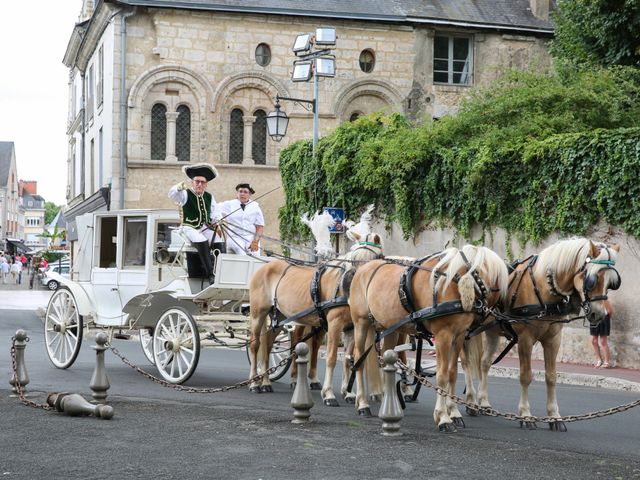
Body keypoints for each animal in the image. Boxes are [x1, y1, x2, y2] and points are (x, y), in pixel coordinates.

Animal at [248, 218, 382, 404]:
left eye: (373, 259)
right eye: (354, 259)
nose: (354, 285)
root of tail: (265, 266)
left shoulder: (351, 328)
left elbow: (348, 359)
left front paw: (348, 393)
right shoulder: (334, 325)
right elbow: (332, 357)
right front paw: (329, 394)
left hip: (279, 316)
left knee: (267, 344)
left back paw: (266, 382)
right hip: (258, 314)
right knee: (255, 345)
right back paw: (254, 383)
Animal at [348, 244, 508, 432]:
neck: (454, 281)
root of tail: (363, 268)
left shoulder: (459, 335)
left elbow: (452, 373)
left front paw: (454, 413)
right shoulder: (443, 336)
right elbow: (442, 375)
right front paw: (443, 417)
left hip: (389, 328)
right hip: (361, 323)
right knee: (359, 360)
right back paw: (362, 404)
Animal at [462, 240, 624, 432]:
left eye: (612, 282)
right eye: (592, 279)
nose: (599, 314)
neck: (542, 287)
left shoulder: (553, 339)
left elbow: (551, 377)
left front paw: (554, 417)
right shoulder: (525, 339)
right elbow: (526, 376)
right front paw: (525, 415)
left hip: (492, 332)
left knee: (484, 363)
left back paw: (484, 403)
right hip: (466, 332)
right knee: (466, 364)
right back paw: (470, 402)